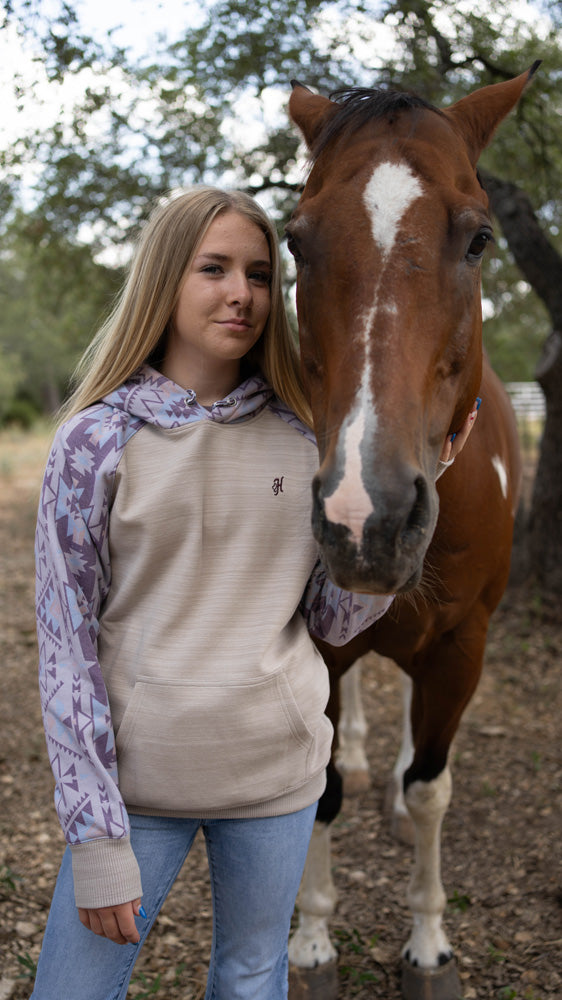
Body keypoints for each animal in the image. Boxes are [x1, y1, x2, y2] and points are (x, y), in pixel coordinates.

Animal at [284, 66, 532, 996]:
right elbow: (317, 790)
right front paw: (312, 942)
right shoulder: (322, 642)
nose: (369, 515)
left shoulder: (464, 645)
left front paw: (429, 944)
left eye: (480, 239)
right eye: (296, 241)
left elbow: (433, 787)